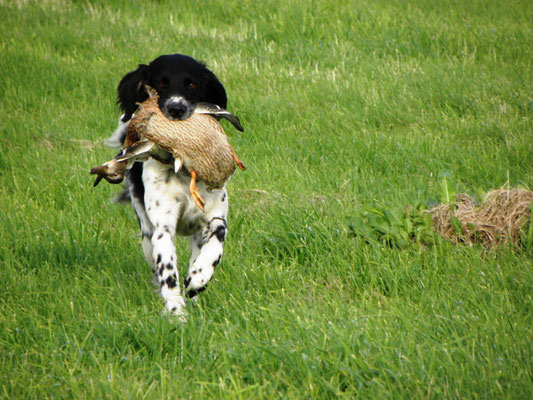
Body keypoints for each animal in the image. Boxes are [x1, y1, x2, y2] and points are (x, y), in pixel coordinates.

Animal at [105, 53, 234, 318]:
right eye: (161, 83)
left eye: (191, 84)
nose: (176, 108)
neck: (182, 170)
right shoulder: (162, 228)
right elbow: (168, 272)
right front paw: (176, 312)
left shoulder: (215, 216)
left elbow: (216, 242)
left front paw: (199, 276)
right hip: (146, 232)